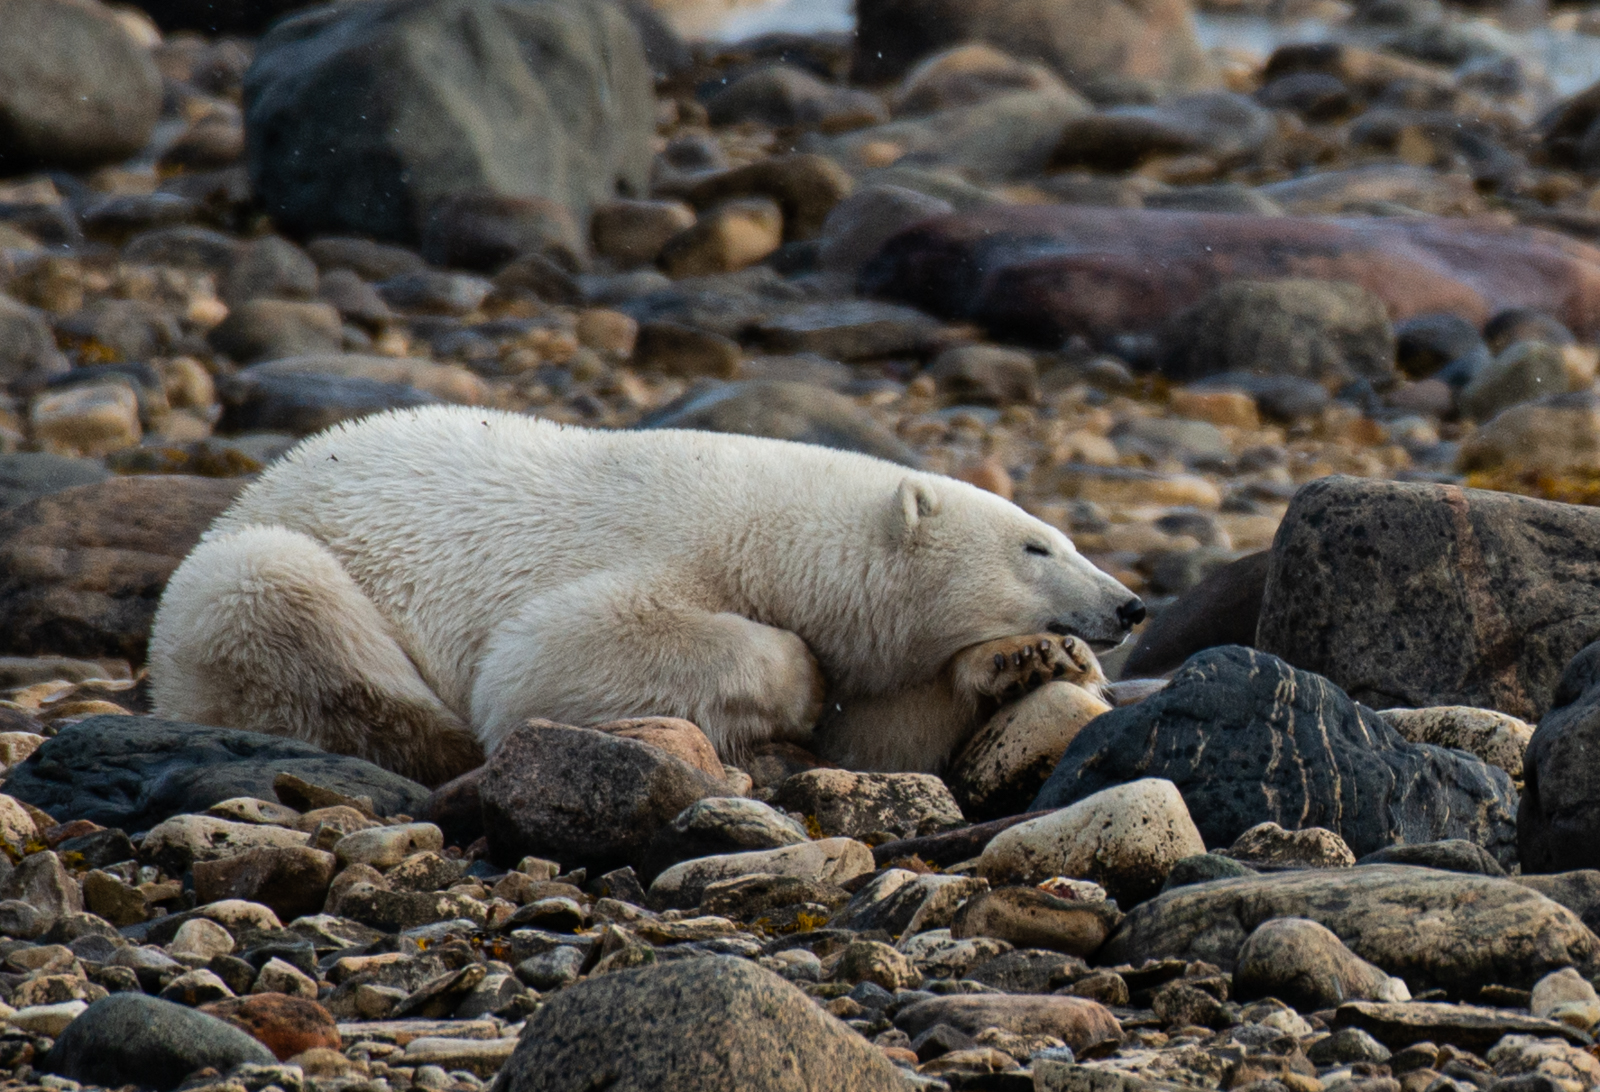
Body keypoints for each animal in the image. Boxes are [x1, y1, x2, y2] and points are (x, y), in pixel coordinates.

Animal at [148, 405, 1144, 786]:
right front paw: (797, 679)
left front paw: (1032, 659)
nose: (1129, 606)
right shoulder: (654, 548)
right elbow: (545, 662)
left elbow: (882, 740)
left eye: (1065, 537)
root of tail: (254, 486)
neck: (770, 534)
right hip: (256, 572)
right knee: (286, 603)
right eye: (1036, 545)